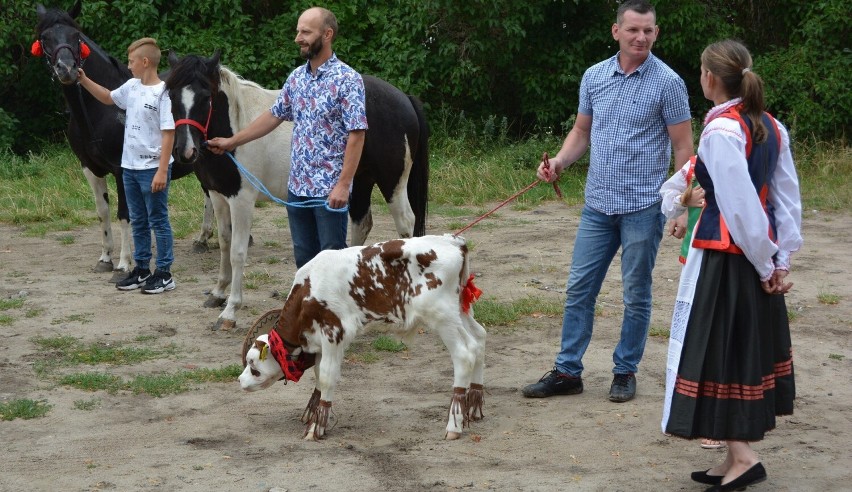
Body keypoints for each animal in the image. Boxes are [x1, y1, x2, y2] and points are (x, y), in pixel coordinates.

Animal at [35, 0, 216, 276]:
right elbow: (103, 212)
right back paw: (203, 239)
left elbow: (124, 214)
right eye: (45, 38)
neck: (102, 110)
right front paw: (104, 258)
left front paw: (123, 263)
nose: (66, 69)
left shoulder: (122, 170)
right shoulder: (90, 169)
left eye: (76, 36)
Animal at [166, 51, 430, 330]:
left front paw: (230, 311)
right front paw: (217, 293)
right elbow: (225, 243)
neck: (235, 128)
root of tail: (404, 98)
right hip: (359, 182)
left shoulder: (242, 200)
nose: (185, 151)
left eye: (206, 97)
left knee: (406, 225)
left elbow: (237, 252)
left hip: (392, 184)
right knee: (362, 224)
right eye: (171, 95)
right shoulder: (218, 196)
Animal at [240, 235, 486, 442]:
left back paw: (454, 425)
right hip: (460, 311)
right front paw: (315, 414)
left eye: (253, 365)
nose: (240, 380)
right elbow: (319, 374)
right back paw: (473, 406)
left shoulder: (334, 333)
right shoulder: (319, 341)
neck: (310, 287)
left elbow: (327, 376)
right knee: (479, 339)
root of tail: (453, 241)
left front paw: (316, 428)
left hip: (442, 316)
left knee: (464, 354)